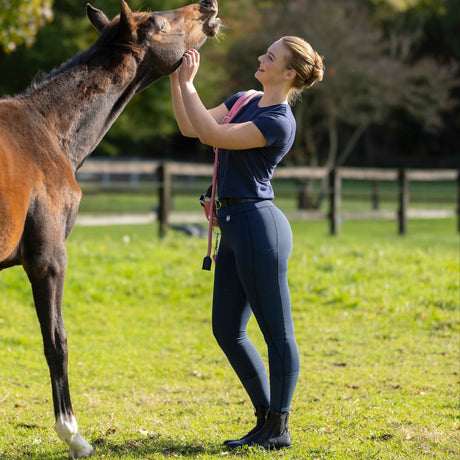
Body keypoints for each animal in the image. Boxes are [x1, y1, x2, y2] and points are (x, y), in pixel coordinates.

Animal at [0, 0, 221, 456]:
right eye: (158, 22)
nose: (208, 6)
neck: (46, 129)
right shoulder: (48, 260)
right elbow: (56, 341)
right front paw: (73, 435)